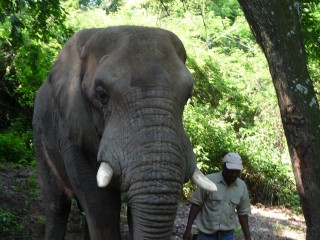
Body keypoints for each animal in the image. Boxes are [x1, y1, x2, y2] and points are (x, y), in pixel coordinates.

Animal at [31, 26, 218, 240]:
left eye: (188, 96)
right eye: (101, 95)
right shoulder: (72, 125)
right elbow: (101, 204)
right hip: (40, 133)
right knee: (57, 205)